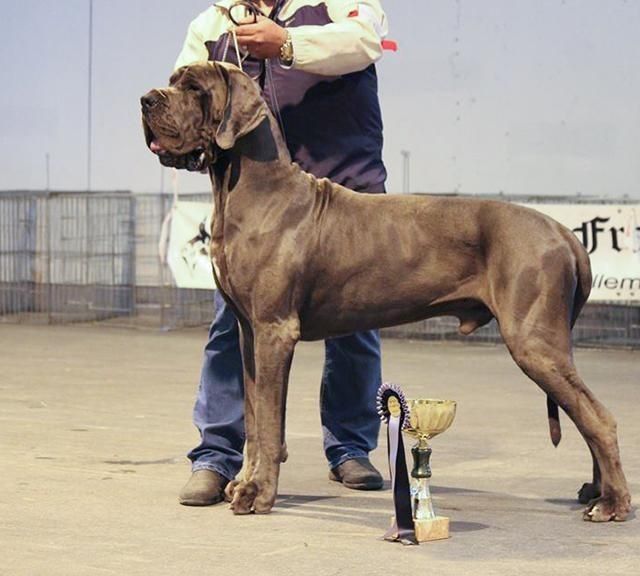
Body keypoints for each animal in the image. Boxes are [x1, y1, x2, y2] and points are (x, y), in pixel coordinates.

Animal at [141, 61, 631, 522]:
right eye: (173, 80)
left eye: (194, 88)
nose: (146, 99)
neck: (252, 189)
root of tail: (564, 233)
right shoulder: (249, 333)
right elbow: (255, 420)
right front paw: (242, 483)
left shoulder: (275, 331)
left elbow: (269, 424)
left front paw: (258, 494)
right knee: (583, 414)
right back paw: (595, 492)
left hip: (534, 342)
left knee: (599, 418)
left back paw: (613, 504)